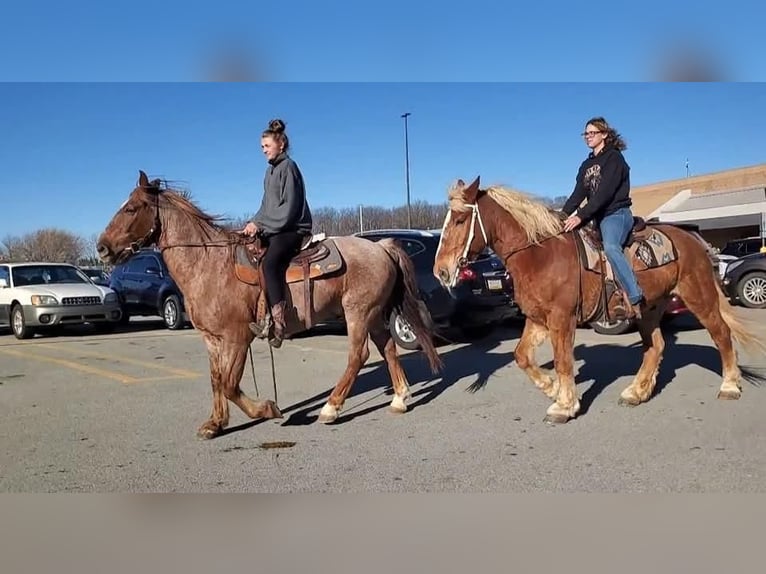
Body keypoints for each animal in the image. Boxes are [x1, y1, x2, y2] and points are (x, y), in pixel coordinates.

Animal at [97, 171, 444, 440]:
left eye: (132, 208)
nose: (101, 248)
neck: (209, 265)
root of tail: (381, 247)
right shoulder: (212, 340)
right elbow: (216, 380)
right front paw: (215, 423)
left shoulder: (238, 337)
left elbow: (230, 384)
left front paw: (267, 409)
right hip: (372, 314)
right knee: (388, 348)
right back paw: (399, 399)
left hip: (357, 313)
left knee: (358, 356)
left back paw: (330, 408)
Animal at [436, 178, 764, 426]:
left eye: (461, 220)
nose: (441, 271)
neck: (541, 254)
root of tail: (692, 239)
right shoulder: (538, 319)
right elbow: (521, 356)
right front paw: (552, 389)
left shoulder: (562, 318)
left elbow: (564, 361)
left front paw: (564, 405)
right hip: (650, 307)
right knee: (656, 346)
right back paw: (636, 392)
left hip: (698, 295)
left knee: (721, 333)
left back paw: (729, 385)